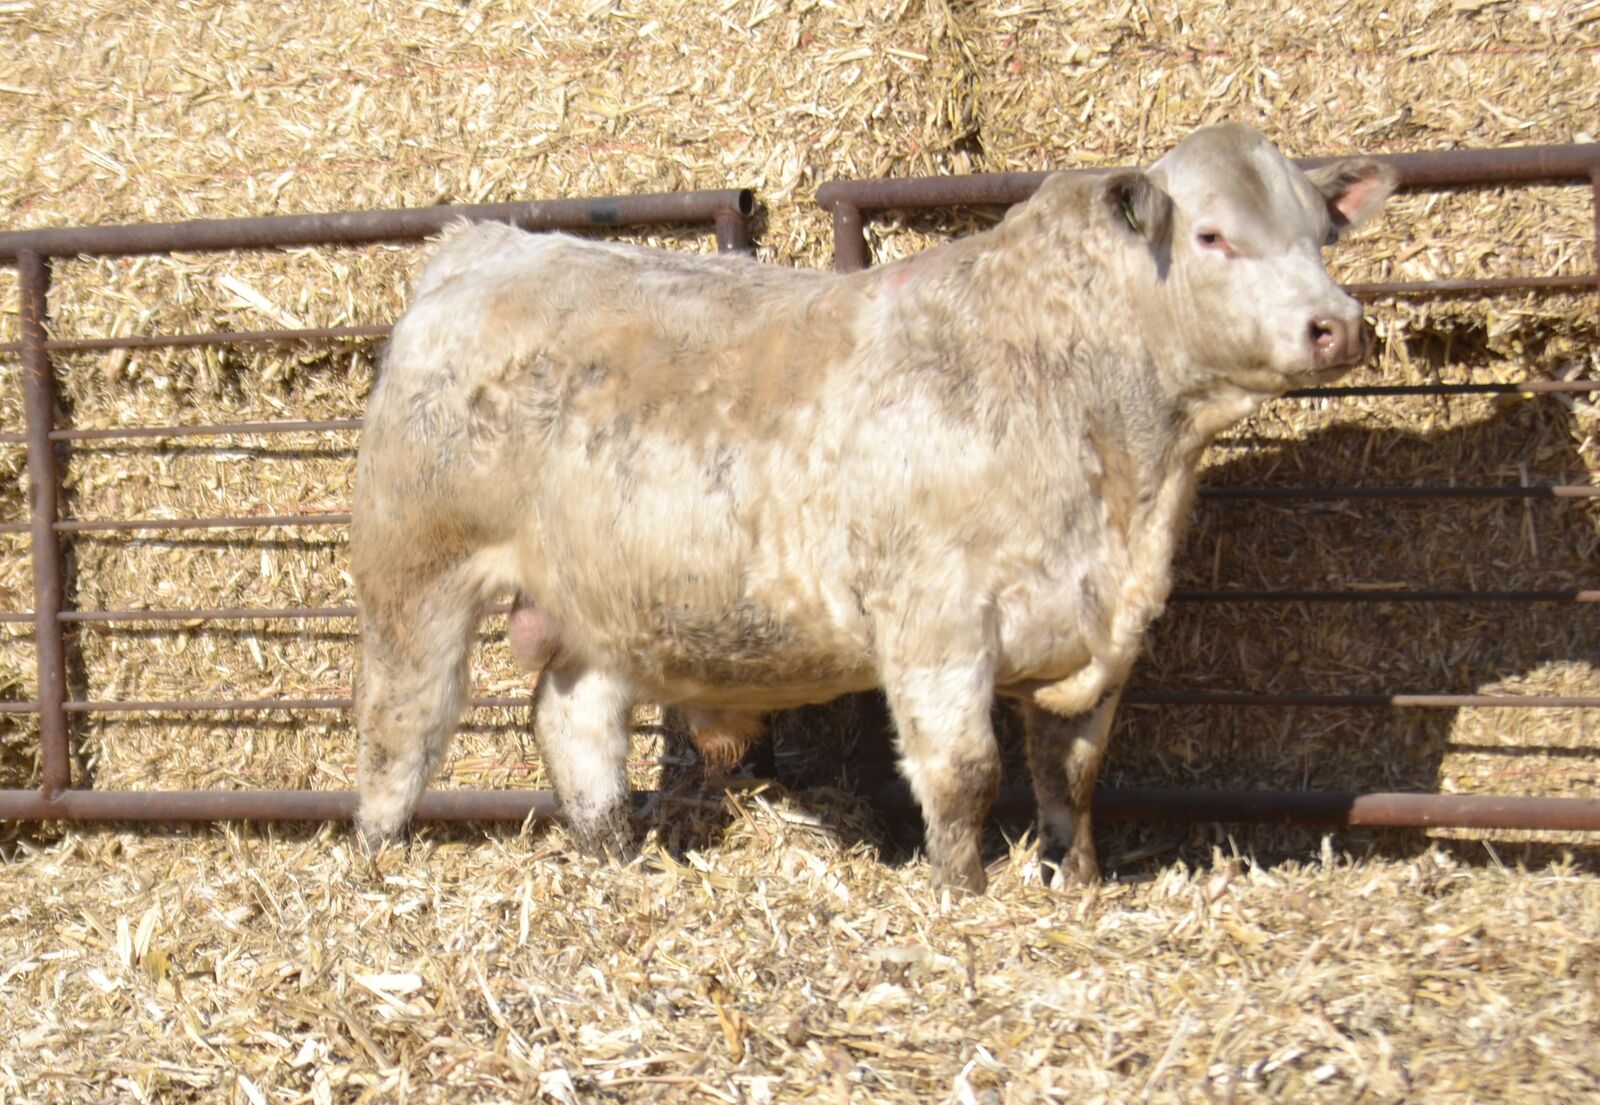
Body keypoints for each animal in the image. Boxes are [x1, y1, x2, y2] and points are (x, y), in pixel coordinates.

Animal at [350, 123, 1395, 892]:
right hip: (417, 574)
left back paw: (614, 858)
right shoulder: (936, 621)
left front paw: (1078, 883)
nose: (1339, 325)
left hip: (601, 607)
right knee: (401, 725)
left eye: (1323, 234)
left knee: (574, 721)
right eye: (1214, 235)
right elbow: (967, 773)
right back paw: (377, 863)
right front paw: (959, 894)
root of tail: (487, 244)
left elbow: (1071, 773)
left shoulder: (1101, 633)